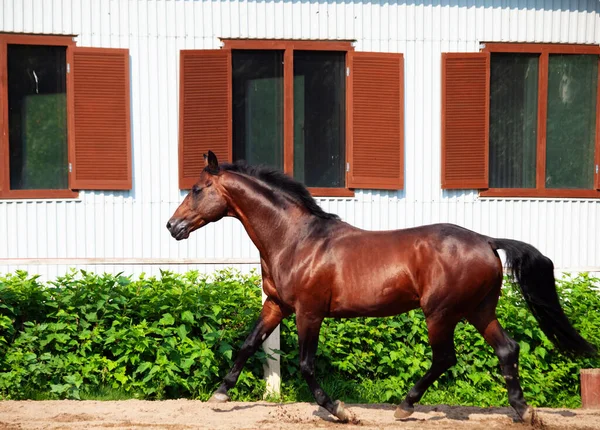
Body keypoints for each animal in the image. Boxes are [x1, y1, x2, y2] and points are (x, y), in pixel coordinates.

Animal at [168, 150, 596, 424]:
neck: (295, 240)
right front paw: (220, 394)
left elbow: (306, 365)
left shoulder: (309, 312)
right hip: (478, 310)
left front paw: (341, 410)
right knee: (507, 349)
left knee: (445, 358)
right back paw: (524, 411)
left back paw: (405, 406)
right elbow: (248, 344)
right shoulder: (276, 305)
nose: (173, 227)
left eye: (196, 189)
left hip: (440, 313)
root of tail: (488, 241)